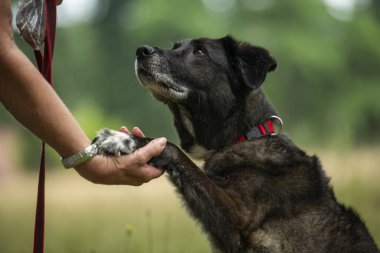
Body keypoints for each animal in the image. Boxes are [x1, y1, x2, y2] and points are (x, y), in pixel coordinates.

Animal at [94, 36, 378, 253]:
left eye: (200, 52)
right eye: (175, 46)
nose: (141, 50)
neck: (244, 137)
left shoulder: (237, 217)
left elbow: (173, 150)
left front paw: (124, 139)